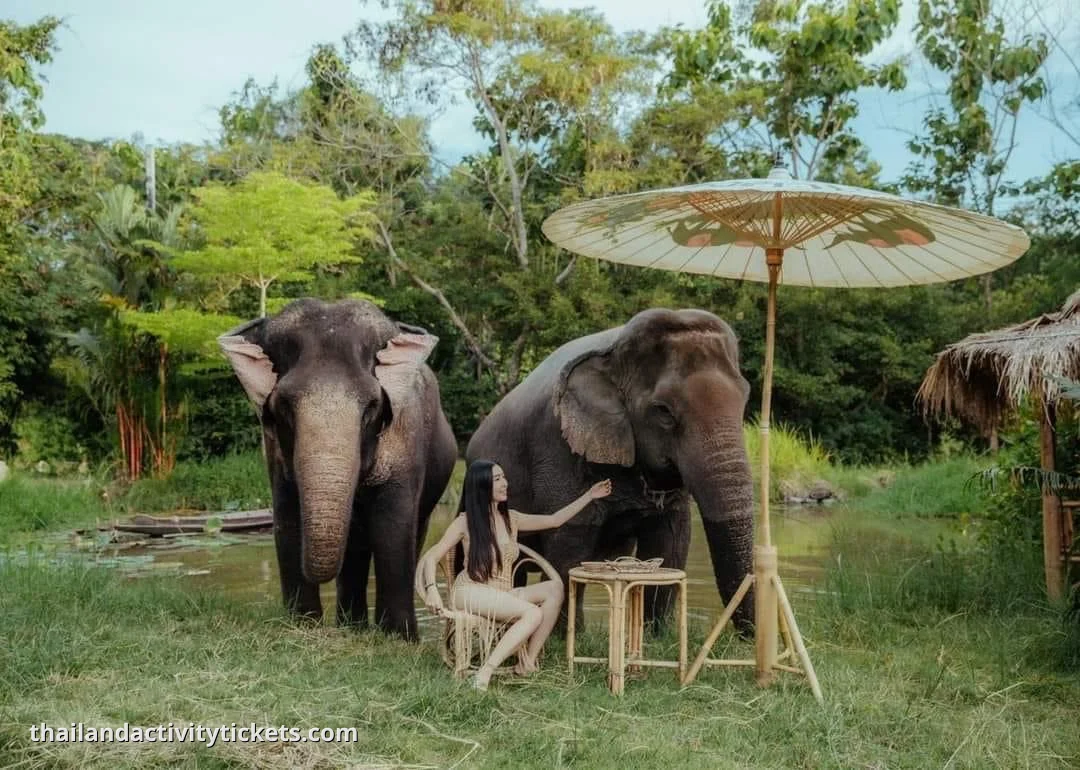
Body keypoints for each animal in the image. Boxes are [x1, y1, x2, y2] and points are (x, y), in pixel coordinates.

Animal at [218, 298, 458, 641]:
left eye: (371, 406)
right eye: (284, 406)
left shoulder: (405, 436)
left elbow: (392, 526)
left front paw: (399, 639)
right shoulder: (274, 451)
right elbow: (287, 521)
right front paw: (302, 625)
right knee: (355, 545)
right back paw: (353, 628)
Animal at [464, 308, 755, 631]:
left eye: (746, 397)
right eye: (663, 411)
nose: (745, 636)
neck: (613, 351)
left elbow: (670, 541)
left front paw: (656, 634)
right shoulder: (557, 448)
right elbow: (568, 544)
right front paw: (564, 636)